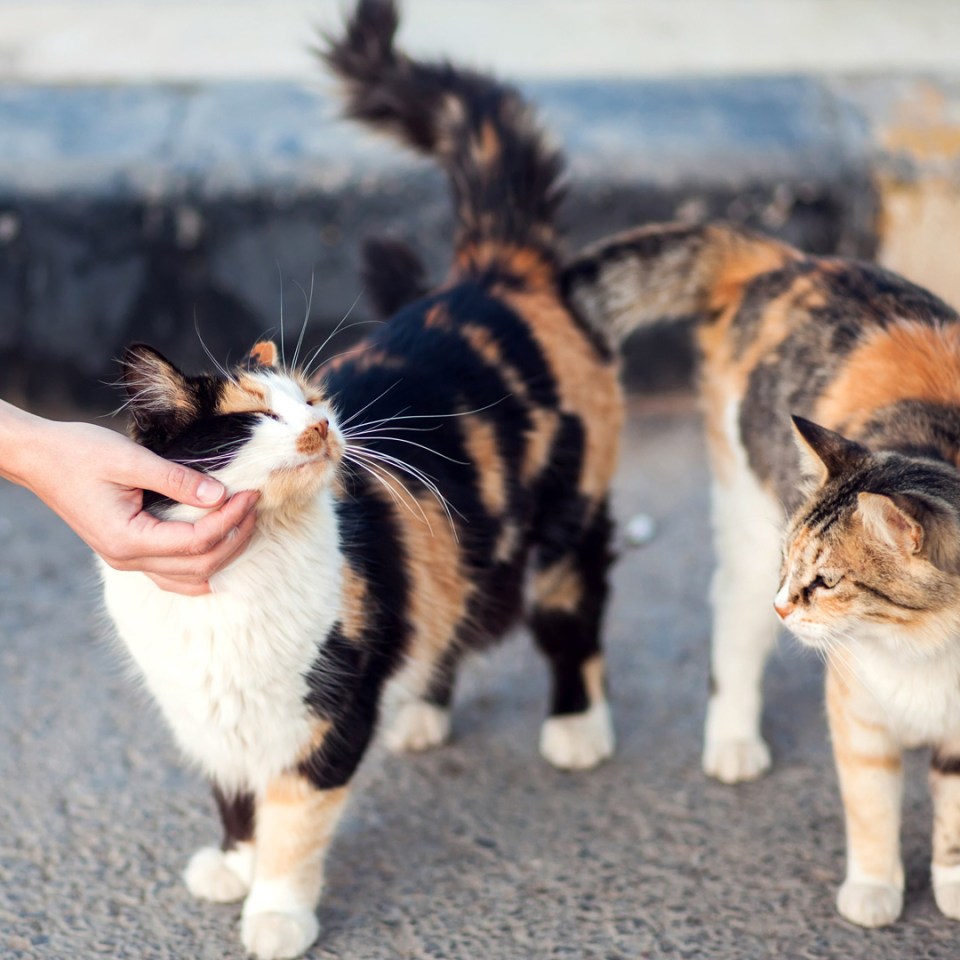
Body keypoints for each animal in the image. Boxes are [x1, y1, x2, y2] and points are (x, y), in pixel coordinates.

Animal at [99, 1, 624, 960]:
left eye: (312, 397)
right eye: (256, 418)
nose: (319, 427)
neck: (233, 588)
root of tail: (493, 271)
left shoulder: (328, 709)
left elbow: (295, 818)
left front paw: (274, 911)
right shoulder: (205, 712)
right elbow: (233, 792)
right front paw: (231, 860)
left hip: (571, 514)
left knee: (572, 614)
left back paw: (575, 726)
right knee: (455, 605)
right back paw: (422, 709)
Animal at [560, 223, 960, 928]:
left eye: (827, 582)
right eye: (798, 567)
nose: (786, 604)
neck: (926, 648)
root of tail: (791, 259)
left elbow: (955, 819)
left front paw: (954, 884)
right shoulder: (856, 706)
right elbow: (870, 802)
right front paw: (873, 889)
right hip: (745, 530)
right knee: (732, 628)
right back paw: (733, 742)